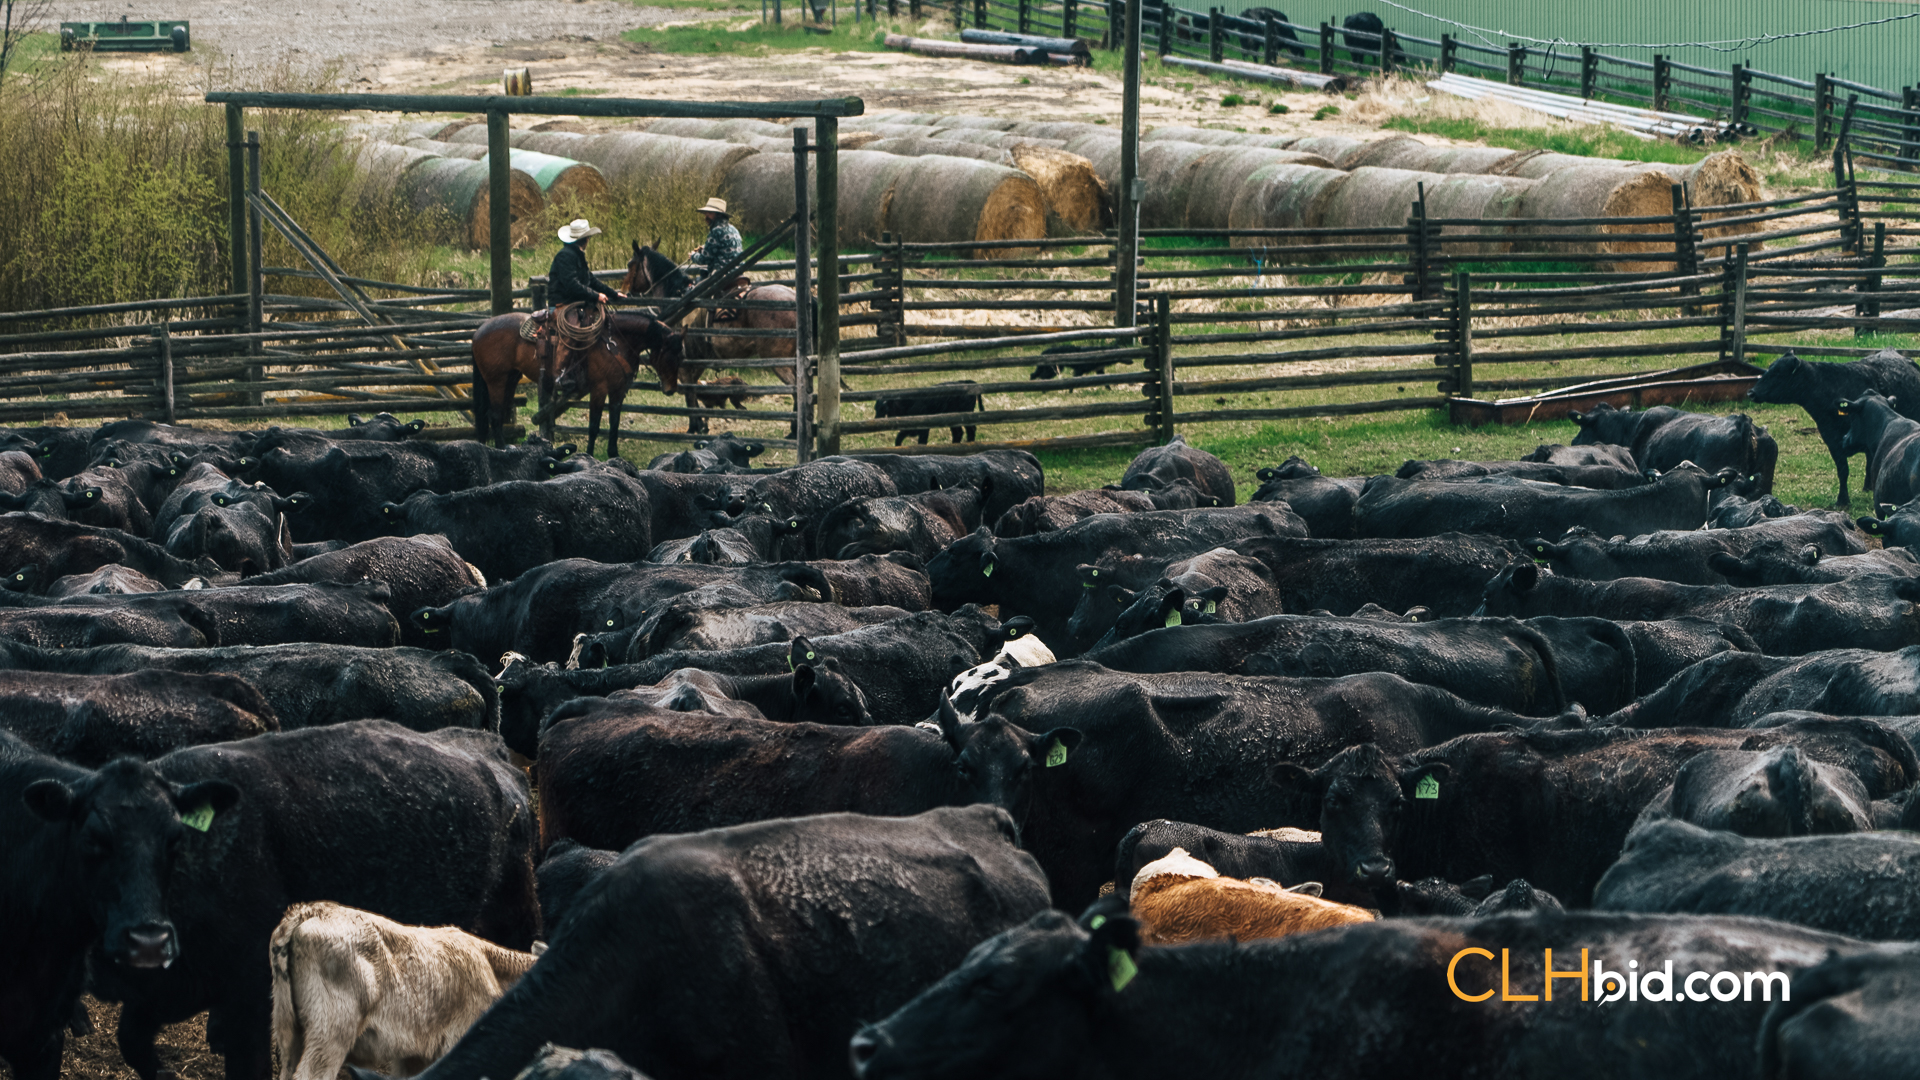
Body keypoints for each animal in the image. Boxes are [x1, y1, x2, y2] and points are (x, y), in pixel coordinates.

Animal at [1748, 348, 1920, 507]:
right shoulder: (1832, 441)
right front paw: (1842, 500)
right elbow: (1843, 471)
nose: (1751, 393)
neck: (1830, 388)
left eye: (1778, 373)